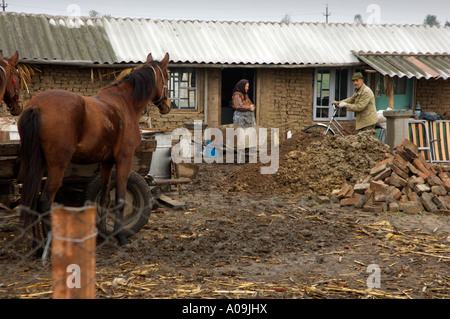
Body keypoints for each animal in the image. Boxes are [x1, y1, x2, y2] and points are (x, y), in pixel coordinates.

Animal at [18, 52, 171, 250]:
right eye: (168, 76)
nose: (168, 105)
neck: (125, 103)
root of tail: (36, 105)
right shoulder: (125, 159)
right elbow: (120, 199)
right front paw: (120, 237)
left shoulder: (106, 162)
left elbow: (104, 198)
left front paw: (103, 235)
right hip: (57, 166)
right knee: (45, 200)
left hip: (38, 164)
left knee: (33, 199)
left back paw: (38, 244)